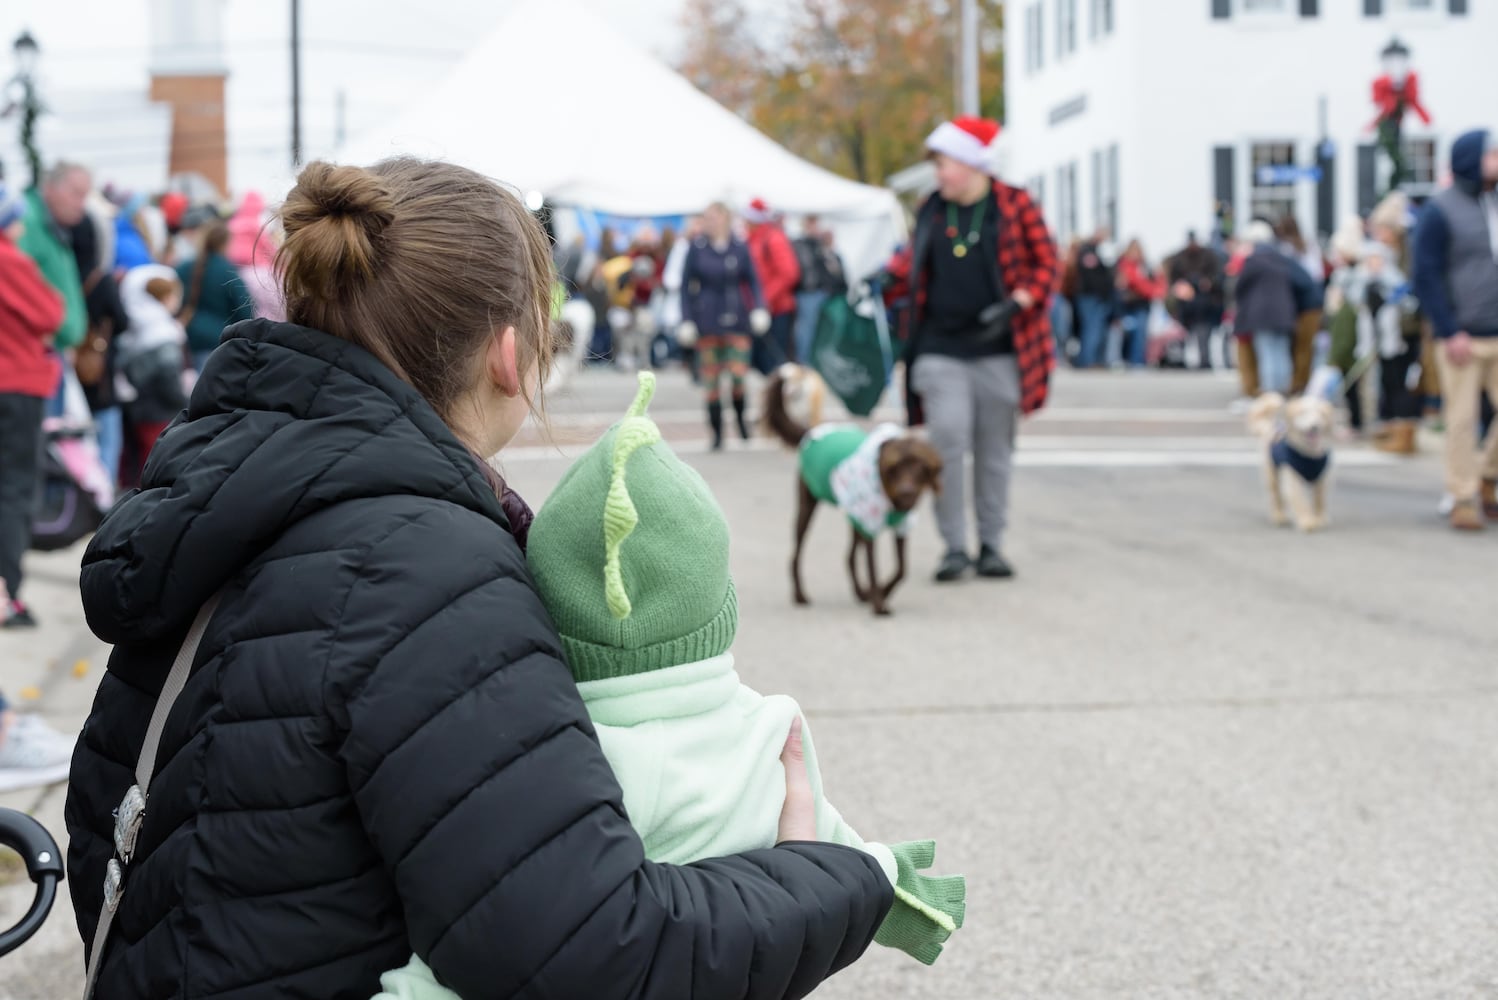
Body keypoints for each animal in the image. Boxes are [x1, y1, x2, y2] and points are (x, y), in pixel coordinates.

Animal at [766, 366, 940, 613]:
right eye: (896, 467)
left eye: (920, 468)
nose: (907, 491)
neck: (892, 498)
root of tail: (811, 433)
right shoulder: (870, 526)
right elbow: (873, 566)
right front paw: (879, 605)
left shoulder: (901, 526)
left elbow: (901, 569)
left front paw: (882, 592)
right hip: (808, 507)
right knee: (796, 554)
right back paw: (800, 595)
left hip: (854, 517)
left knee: (848, 558)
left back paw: (860, 593)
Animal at [1252, 389, 1336, 529]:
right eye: (1303, 413)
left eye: (1320, 414)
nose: (1315, 426)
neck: (1309, 455)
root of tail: (1271, 426)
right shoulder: (1293, 477)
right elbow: (1300, 500)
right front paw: (1307, 521)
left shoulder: (1322, 478)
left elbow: (1319, 500)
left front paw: (1319, 518)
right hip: (1272, 475)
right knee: (1276, 497)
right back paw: (1279, 516)